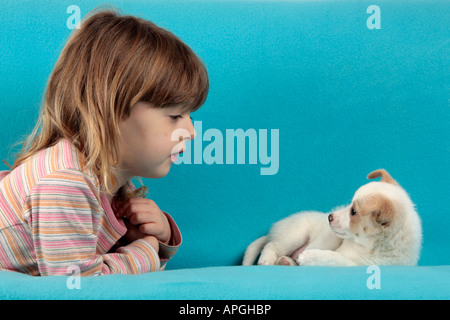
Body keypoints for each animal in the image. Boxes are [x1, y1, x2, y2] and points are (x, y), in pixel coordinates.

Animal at [243, 170, 422, 268]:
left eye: (353, 212)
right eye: (349, 205)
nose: (329, 216)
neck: (363, 245)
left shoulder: (355, 264)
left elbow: (331, 257)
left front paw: (309, 257)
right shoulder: (330, 234)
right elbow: (324, 242)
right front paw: (309, 251)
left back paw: (287, 261)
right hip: (295, 234)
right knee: (271, 245)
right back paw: (266, 259)